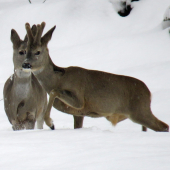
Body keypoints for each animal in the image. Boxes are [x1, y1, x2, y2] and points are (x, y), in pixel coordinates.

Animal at [21, 22, 169, 131]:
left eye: (38, 52)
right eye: (25, 51)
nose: (26, 64)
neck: (59, 78)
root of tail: (149, 93)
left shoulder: (79, 100)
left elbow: (54, 91)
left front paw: (51, 123)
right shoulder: (78, 114)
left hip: (140, 110)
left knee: (164, 126)